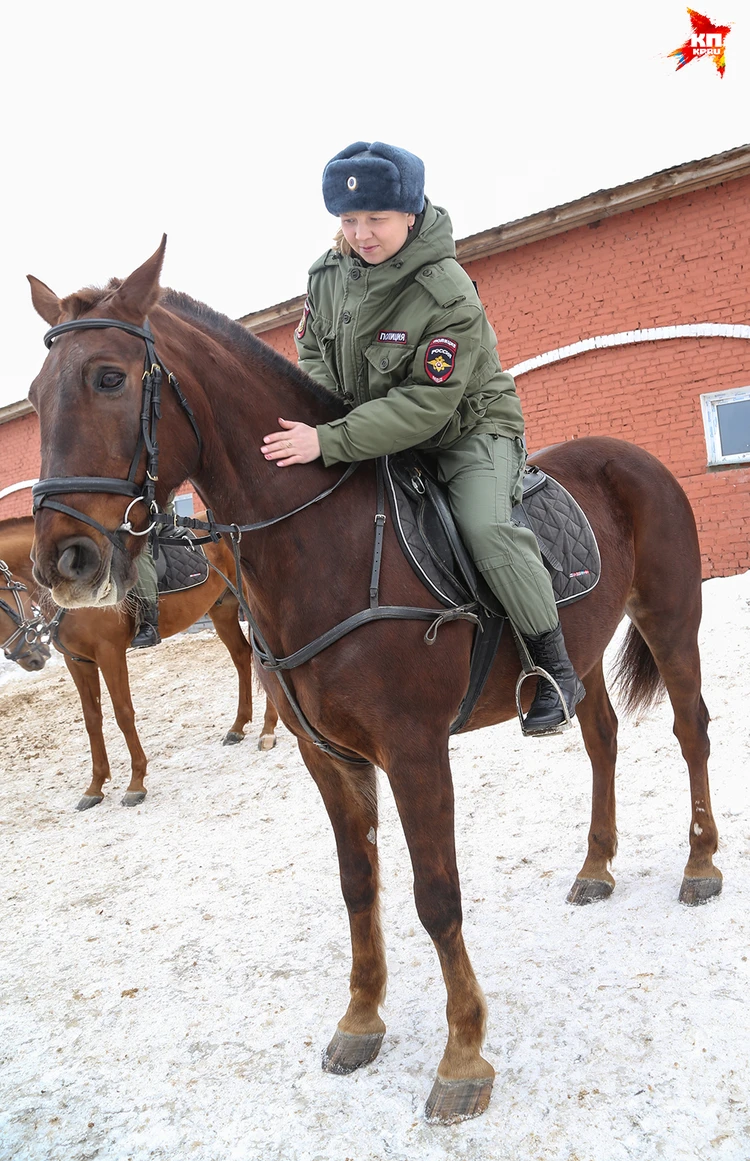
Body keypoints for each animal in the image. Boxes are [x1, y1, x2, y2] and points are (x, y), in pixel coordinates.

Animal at [1, 517, 277, 808]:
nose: (34, 657)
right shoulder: (77, 661)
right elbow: (92, 720)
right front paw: (95, 787)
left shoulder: (110, 653)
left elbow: (123, 714)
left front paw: (135, 783)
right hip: (222, 609)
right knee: (241, 656)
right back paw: (238, 727)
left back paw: (267, 730)